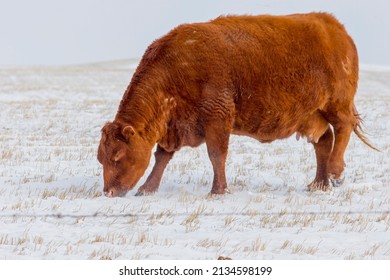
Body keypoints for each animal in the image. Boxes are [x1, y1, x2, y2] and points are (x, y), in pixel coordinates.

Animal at [96, 12, 374, 197]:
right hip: (312, 116)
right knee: (324, 140)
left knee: (343, 128)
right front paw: (147, 188)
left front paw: (218, 191)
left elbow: (216, 154)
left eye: (118, 156)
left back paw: (336, 174)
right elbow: (162, 156)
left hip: (336, 104)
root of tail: (336, 28)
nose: (109, 191)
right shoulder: (174, 125)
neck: (175, 68)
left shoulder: (217, 117)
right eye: (101, 158)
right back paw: (319, 183)